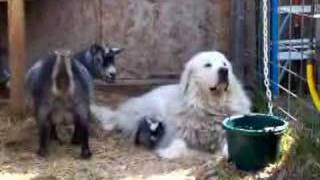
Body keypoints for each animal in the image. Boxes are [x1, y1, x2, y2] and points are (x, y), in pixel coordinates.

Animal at [91, 51, 251, 160]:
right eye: (207, 65)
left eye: (224, 64)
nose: (224, 71)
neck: (210, 106)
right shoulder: (174, 133)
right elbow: (179, 143)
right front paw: (167, 152)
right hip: (152, 108)